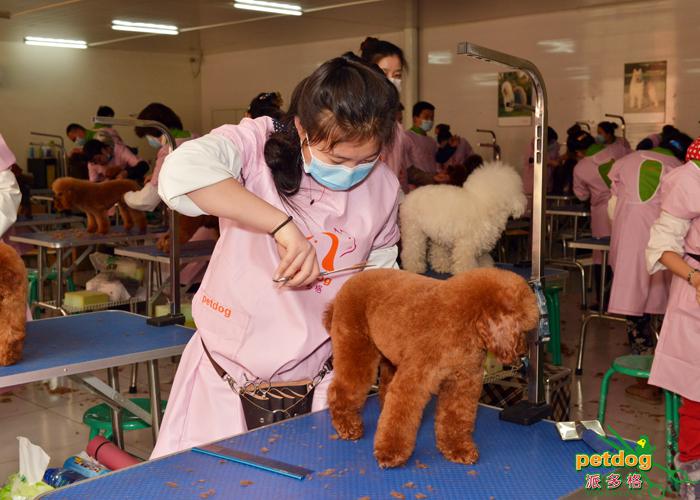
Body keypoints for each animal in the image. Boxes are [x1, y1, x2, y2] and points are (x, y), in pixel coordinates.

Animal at [326, 270, 540, 468]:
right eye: (522, 327)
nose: (522, 350)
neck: (464, 321)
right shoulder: (414, 380)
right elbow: (400, 415)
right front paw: (390, 453)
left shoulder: (462, 382)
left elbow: (456, 417)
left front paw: (457, 448)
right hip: (356, 349)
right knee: (341, 389)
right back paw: (347, 426)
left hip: (389, 357)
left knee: (384, 390)